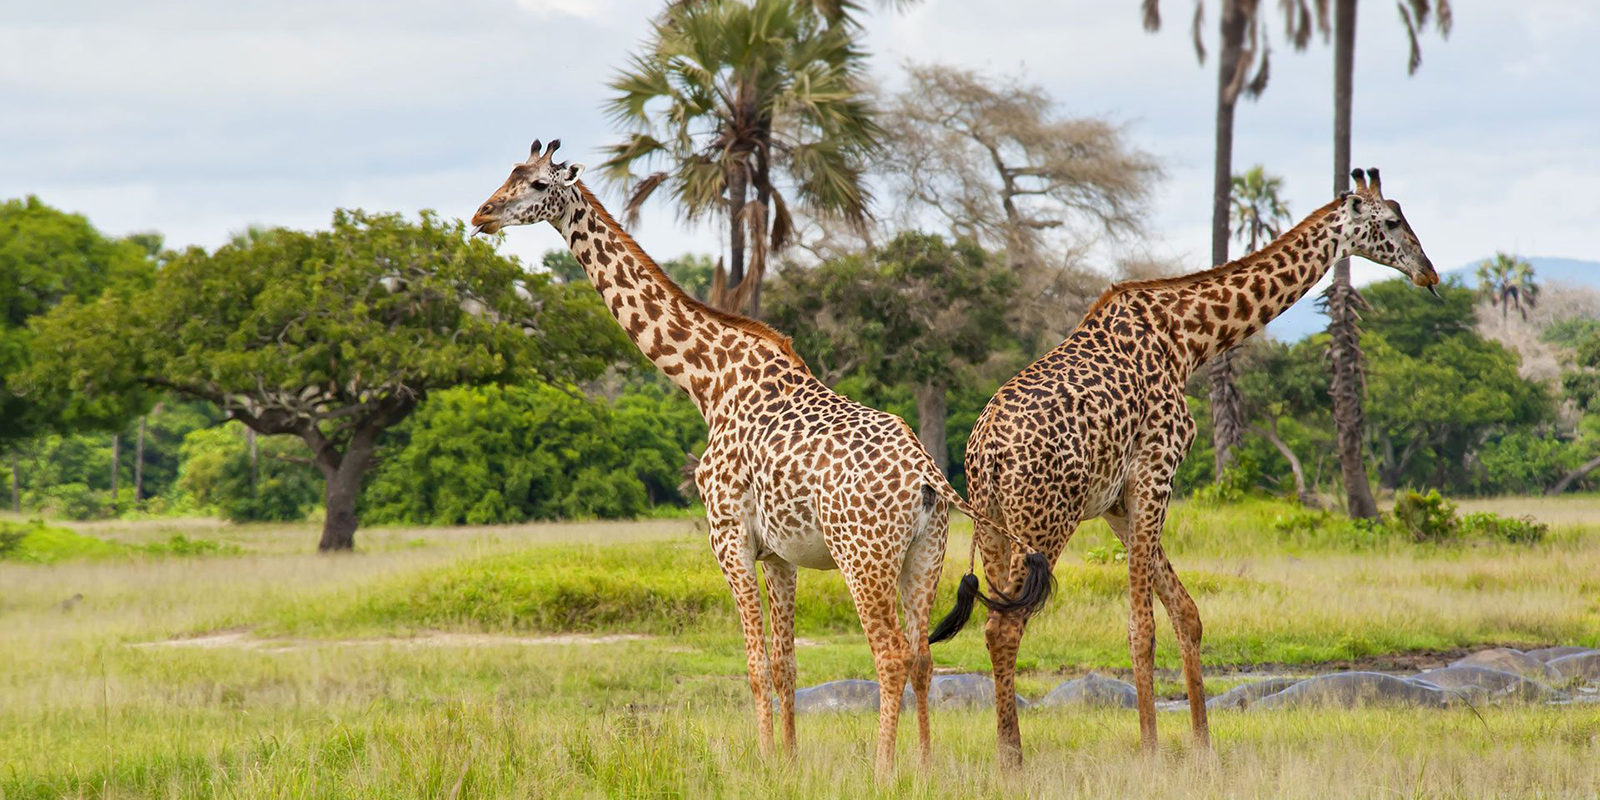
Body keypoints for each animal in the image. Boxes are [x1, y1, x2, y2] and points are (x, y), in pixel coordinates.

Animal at [467, 139, 1056, 774]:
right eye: (509, 173)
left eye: (533, 184)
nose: (481, 215)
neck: (708, 381)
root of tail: (929, 475)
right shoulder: (779, 554)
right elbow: (784, 664)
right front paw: (790, 763)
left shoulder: (728, 536)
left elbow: (752, 665)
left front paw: (765, 760)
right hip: (924, 553)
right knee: (923, 656)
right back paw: (922, 767)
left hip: (863, 557)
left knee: (891, 655)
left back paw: (883, 769)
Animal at [947, 170, 1440, 768]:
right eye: (1390, 222)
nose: (1429, 272)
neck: (1188, 338)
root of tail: (984, 453)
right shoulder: (1155, 472)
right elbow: (1141, 625)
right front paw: (1152, 751)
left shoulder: (1116, 502)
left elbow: (1186, 612)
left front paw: (1204, 747)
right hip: (1045, 521)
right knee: (1005, 624)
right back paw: (1013, 762)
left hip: (993, 525)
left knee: (994, 624)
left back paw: (1006, 754)